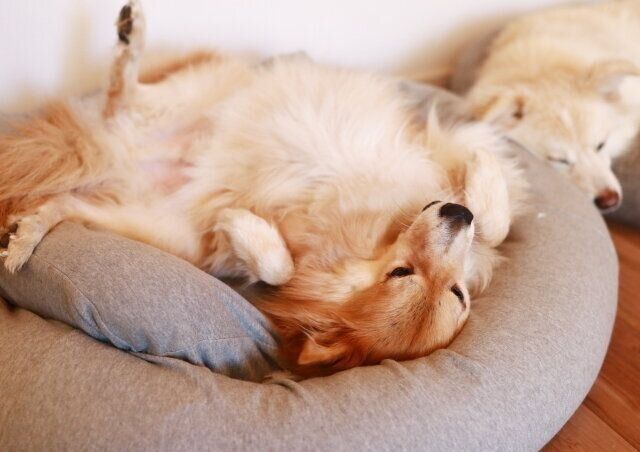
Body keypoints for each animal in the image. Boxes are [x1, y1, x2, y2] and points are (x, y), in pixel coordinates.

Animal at [0, 1, 526, 376]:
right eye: (402, 273)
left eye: (457, 293)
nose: (457, 214)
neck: (377, 230)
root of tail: (117, 156)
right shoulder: (425, 151)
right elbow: (495, 221)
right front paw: (485, 166)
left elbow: (276, 268)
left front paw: (240, 224)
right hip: (200, 91)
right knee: (120, 97)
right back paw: (133, 36)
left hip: (166, 231)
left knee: (68, 198)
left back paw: (25, 234)